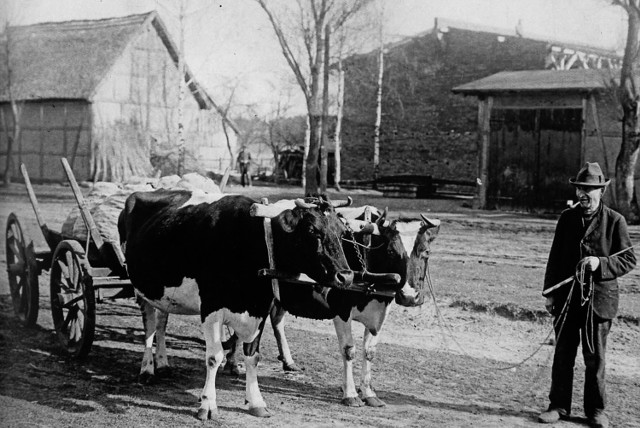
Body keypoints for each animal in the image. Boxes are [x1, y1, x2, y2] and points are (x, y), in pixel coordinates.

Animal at [117, 191, 352, 418]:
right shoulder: (211, 307)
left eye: (342, 232)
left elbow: (252, 356)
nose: (346, 277)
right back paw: (147, 370)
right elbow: (214, 356)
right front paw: (208, 405)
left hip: (163, 293)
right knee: (149, 326)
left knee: (161, 323)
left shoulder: (259, 310)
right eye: (312, 230)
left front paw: (256, 402)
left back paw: (163, 363)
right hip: (141, 288)